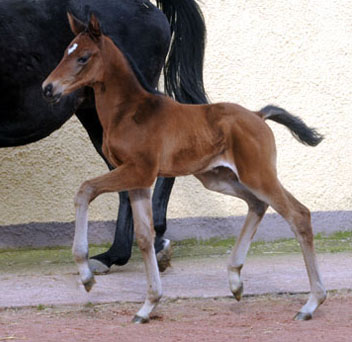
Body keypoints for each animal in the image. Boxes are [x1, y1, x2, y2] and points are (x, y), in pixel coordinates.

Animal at [42, 13, 326, 324]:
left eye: (83, 57)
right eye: (65, 52)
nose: (48, 88)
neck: (129, 112)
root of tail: (257, 115)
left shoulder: (138, 171)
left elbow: (85, 190)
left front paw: (87, 276)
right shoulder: (138, 181)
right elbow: (144, 237)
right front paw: (148, 306)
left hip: (258, 175)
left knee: (298, 215)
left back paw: (311, 303)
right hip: (218, 178)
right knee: (257, 205)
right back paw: (235, 281)